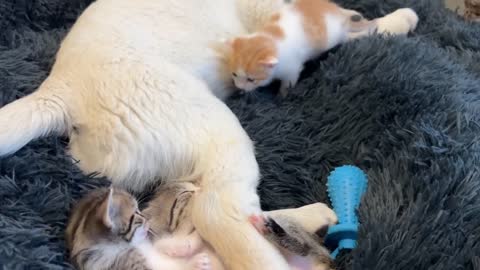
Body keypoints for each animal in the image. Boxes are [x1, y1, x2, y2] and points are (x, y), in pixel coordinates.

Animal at [221, 0, 376, 96]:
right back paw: (354, 14)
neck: (270, 37)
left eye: (251, 79)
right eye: (234, 74)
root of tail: (334, 13)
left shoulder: (291, 70)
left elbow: (287, 84)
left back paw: (364, 29)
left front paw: (282, 96)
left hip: (333, 36)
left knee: (346, 34)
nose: (239, 86)